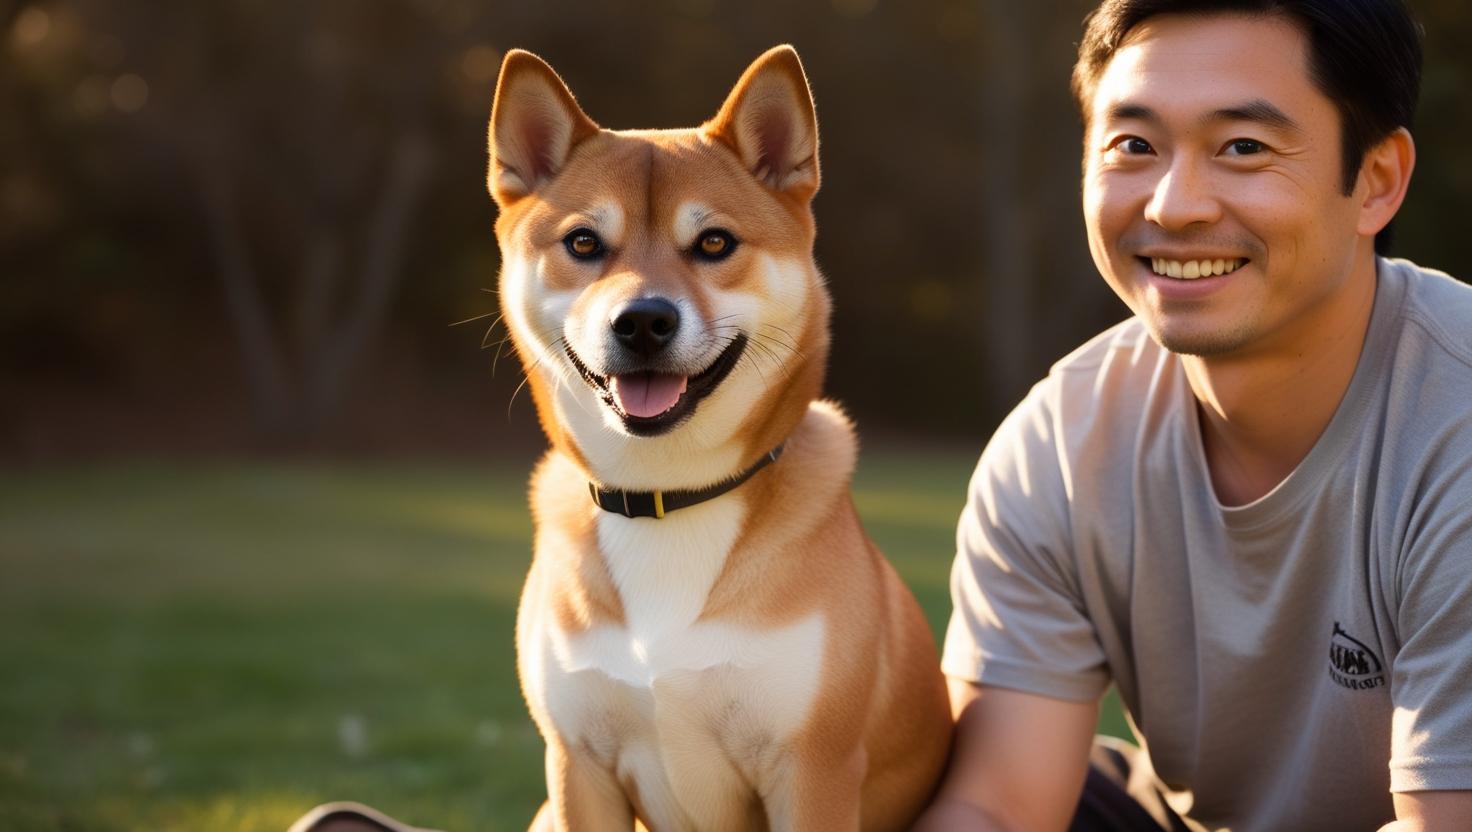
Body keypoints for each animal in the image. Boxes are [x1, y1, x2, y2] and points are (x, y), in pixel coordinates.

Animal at [488, 45, 947, 830]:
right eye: (583, 242)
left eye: (713, 242)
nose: (643, 321)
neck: (667, 498)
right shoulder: (578, 769)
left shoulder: (812, 771)